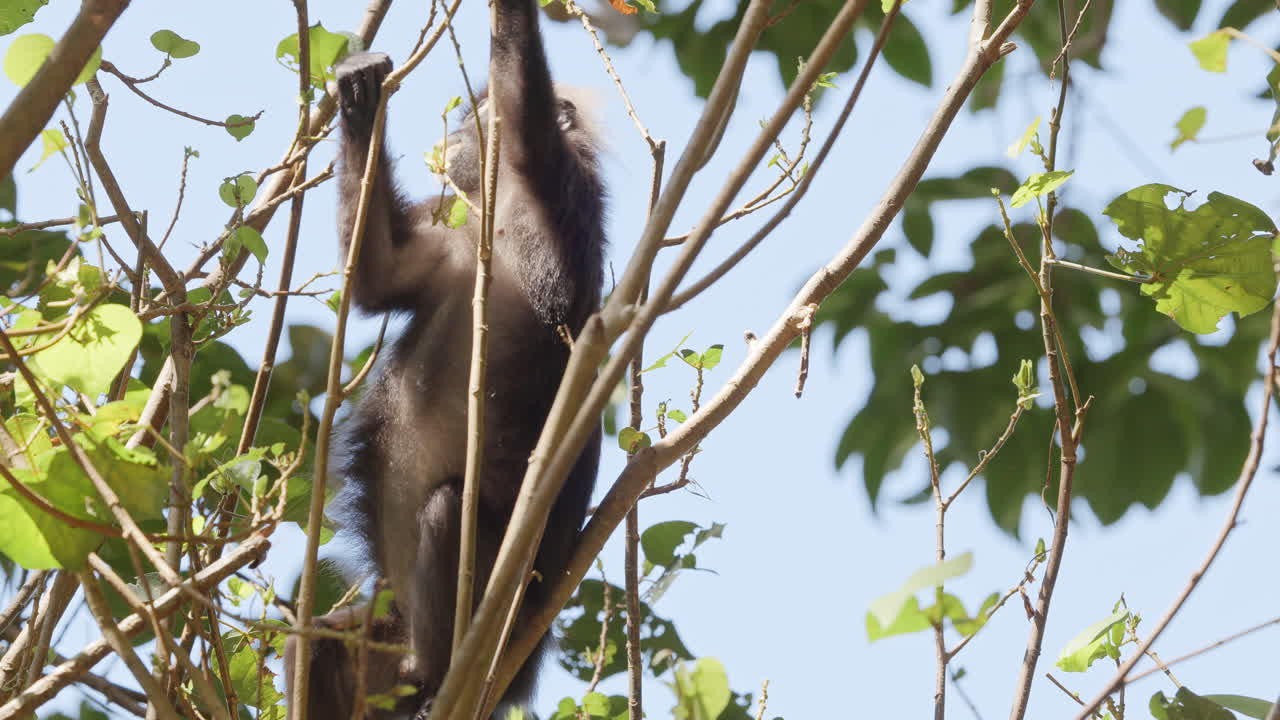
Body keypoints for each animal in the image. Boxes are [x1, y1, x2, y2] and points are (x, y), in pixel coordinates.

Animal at [283, 1, 605, 718]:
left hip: (491, 611)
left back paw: (432, 674)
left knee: (445, 510)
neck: (497, 212)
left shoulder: (551, 170)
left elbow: (519, 80)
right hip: (378, 645)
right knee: (314, 644)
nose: (458, 133)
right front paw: (360, 98)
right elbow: (379, 273)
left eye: (473, 115)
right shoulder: (445, 226)